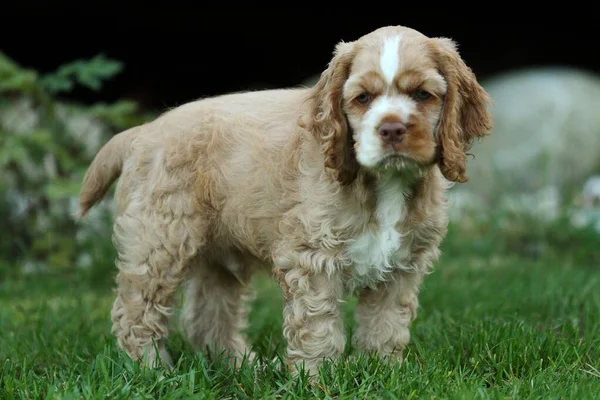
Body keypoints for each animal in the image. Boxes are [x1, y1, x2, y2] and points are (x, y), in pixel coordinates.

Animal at [78, 24, 492, 376]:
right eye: (362, 99)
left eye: (423, 94)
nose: (391, 129)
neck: (383, 182)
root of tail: (142, 131)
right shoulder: (313, 257)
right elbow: (317, 326)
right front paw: (316, 379)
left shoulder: (403, 264)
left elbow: (386, 325)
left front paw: (384, 373)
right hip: (160, 240)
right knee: (135, 311)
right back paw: (152, 371)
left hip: (217, 255)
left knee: (208, 315)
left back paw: (241, 365)